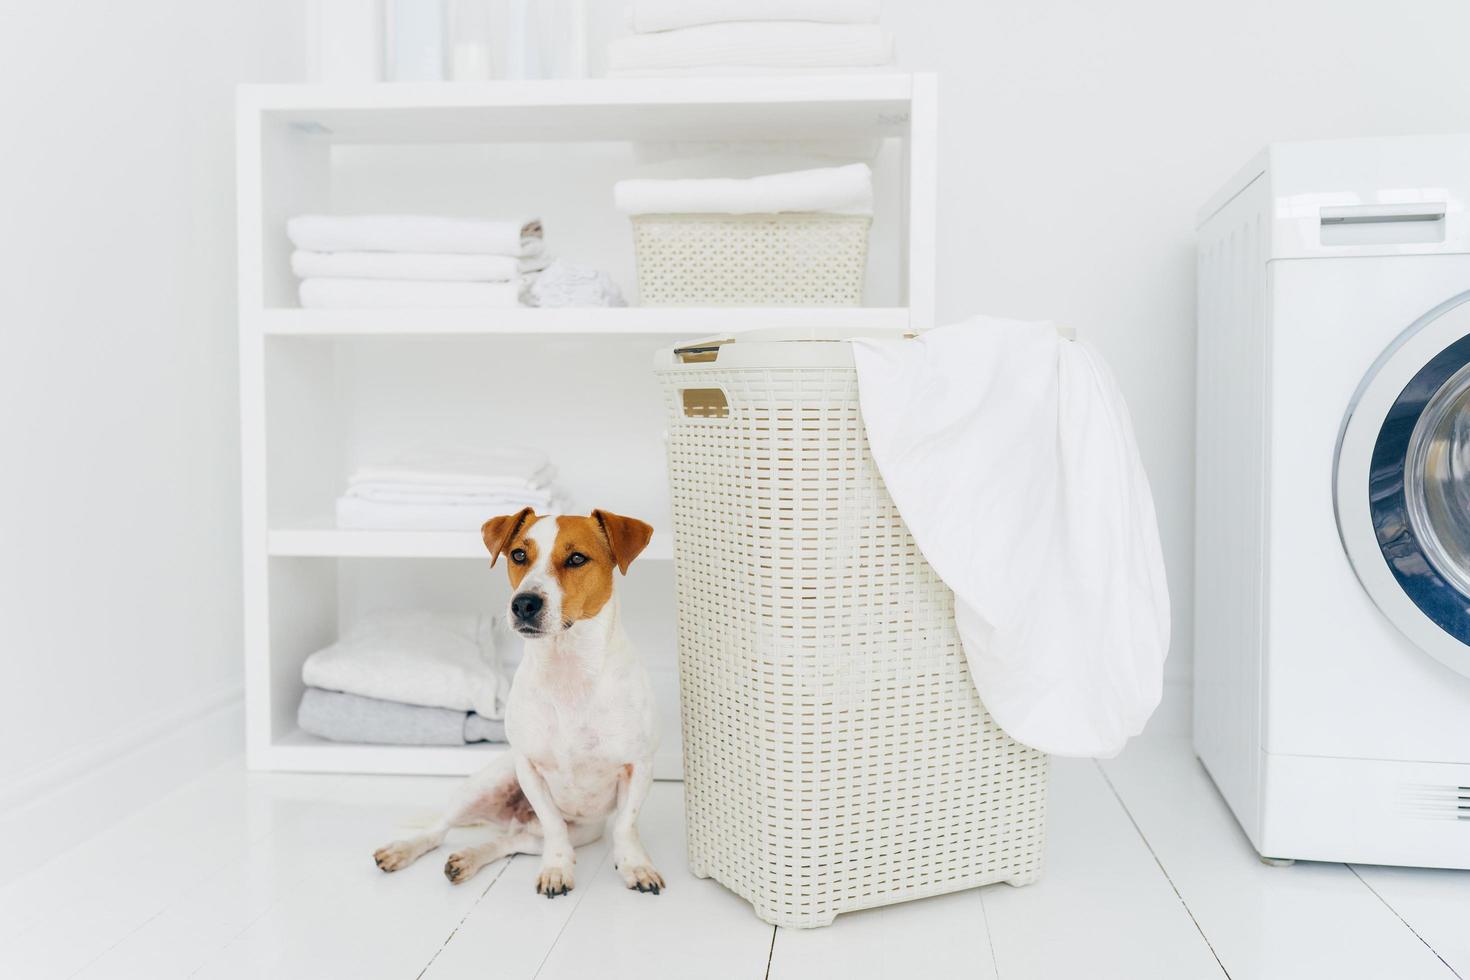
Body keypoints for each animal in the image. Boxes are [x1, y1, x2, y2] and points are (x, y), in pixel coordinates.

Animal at [370, 511, 664, 899]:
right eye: (519, 555)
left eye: (577, 558)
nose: (524, 603)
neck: (567, 668)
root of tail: (515, 819)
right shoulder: (528, 767)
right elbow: (554, 825)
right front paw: (557, 869)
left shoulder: (638, 766)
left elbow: (625, 827)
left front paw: (635, 866)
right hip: (485, 785)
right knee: (440, 828)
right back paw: (403, 849)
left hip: (579, 832)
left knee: (510, 842)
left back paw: (468, 859)